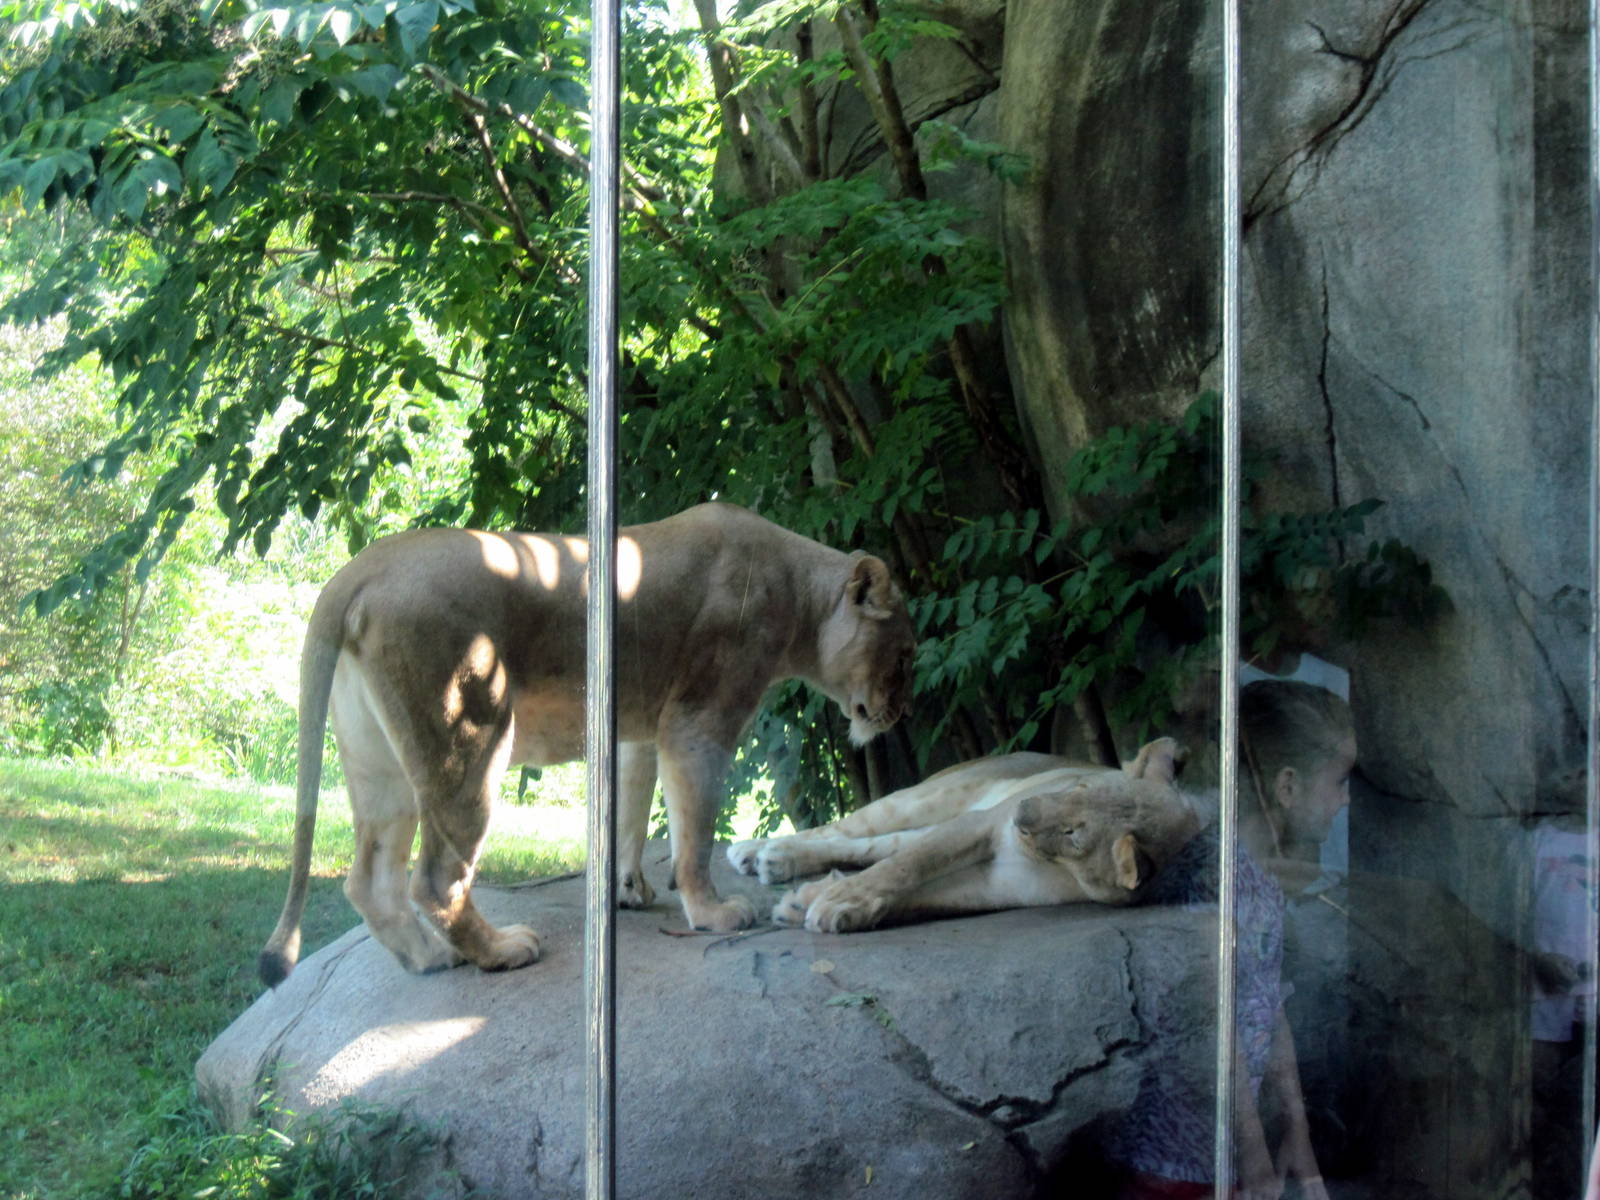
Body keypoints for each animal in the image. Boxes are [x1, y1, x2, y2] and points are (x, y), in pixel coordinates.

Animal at [259, 502, 915, 983]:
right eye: (905, 655)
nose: (900, 713)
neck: (798, 593)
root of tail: (357, 569)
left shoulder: (639, 731)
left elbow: (629, 815)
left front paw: (627, 890)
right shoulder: (699, 722)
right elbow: (694, 834)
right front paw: (712, 913)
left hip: (381, 765)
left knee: (370, 879)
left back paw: (431, 959)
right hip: (472, 735)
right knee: (437, 879)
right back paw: (500, 951)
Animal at [727, 739, 1199, 933]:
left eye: (1074, 835)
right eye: (1078, 786)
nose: (1021, 813)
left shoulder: (997, 885)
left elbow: (917, 893)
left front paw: (813, 905)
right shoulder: (982, 825)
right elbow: (905, 868)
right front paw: (834, 903)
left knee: (867, 847)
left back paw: (782, 867)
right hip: (931, 798)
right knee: (849, 829)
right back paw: (757, 852)